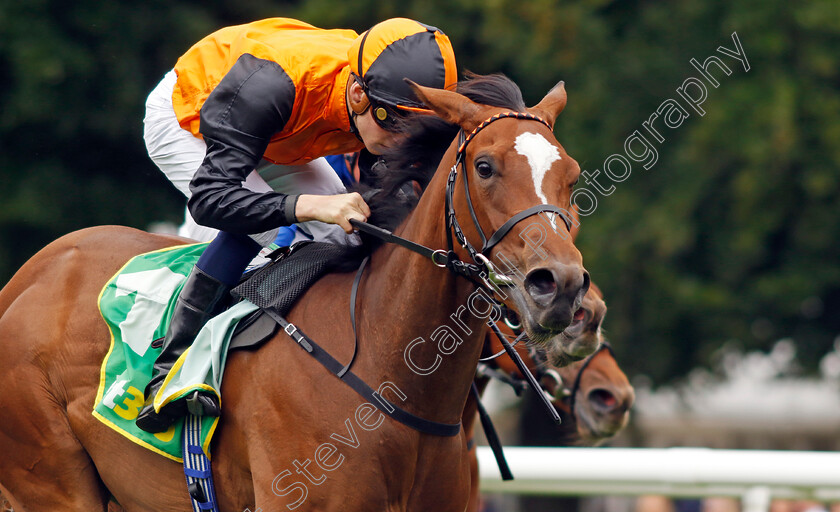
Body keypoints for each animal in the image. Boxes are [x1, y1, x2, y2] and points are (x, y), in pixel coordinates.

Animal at [0, 77, 584, 512]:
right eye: (484, 167)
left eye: (573, 177)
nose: (561, 287)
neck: (388, 368)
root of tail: (26, 278)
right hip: (53, 480)